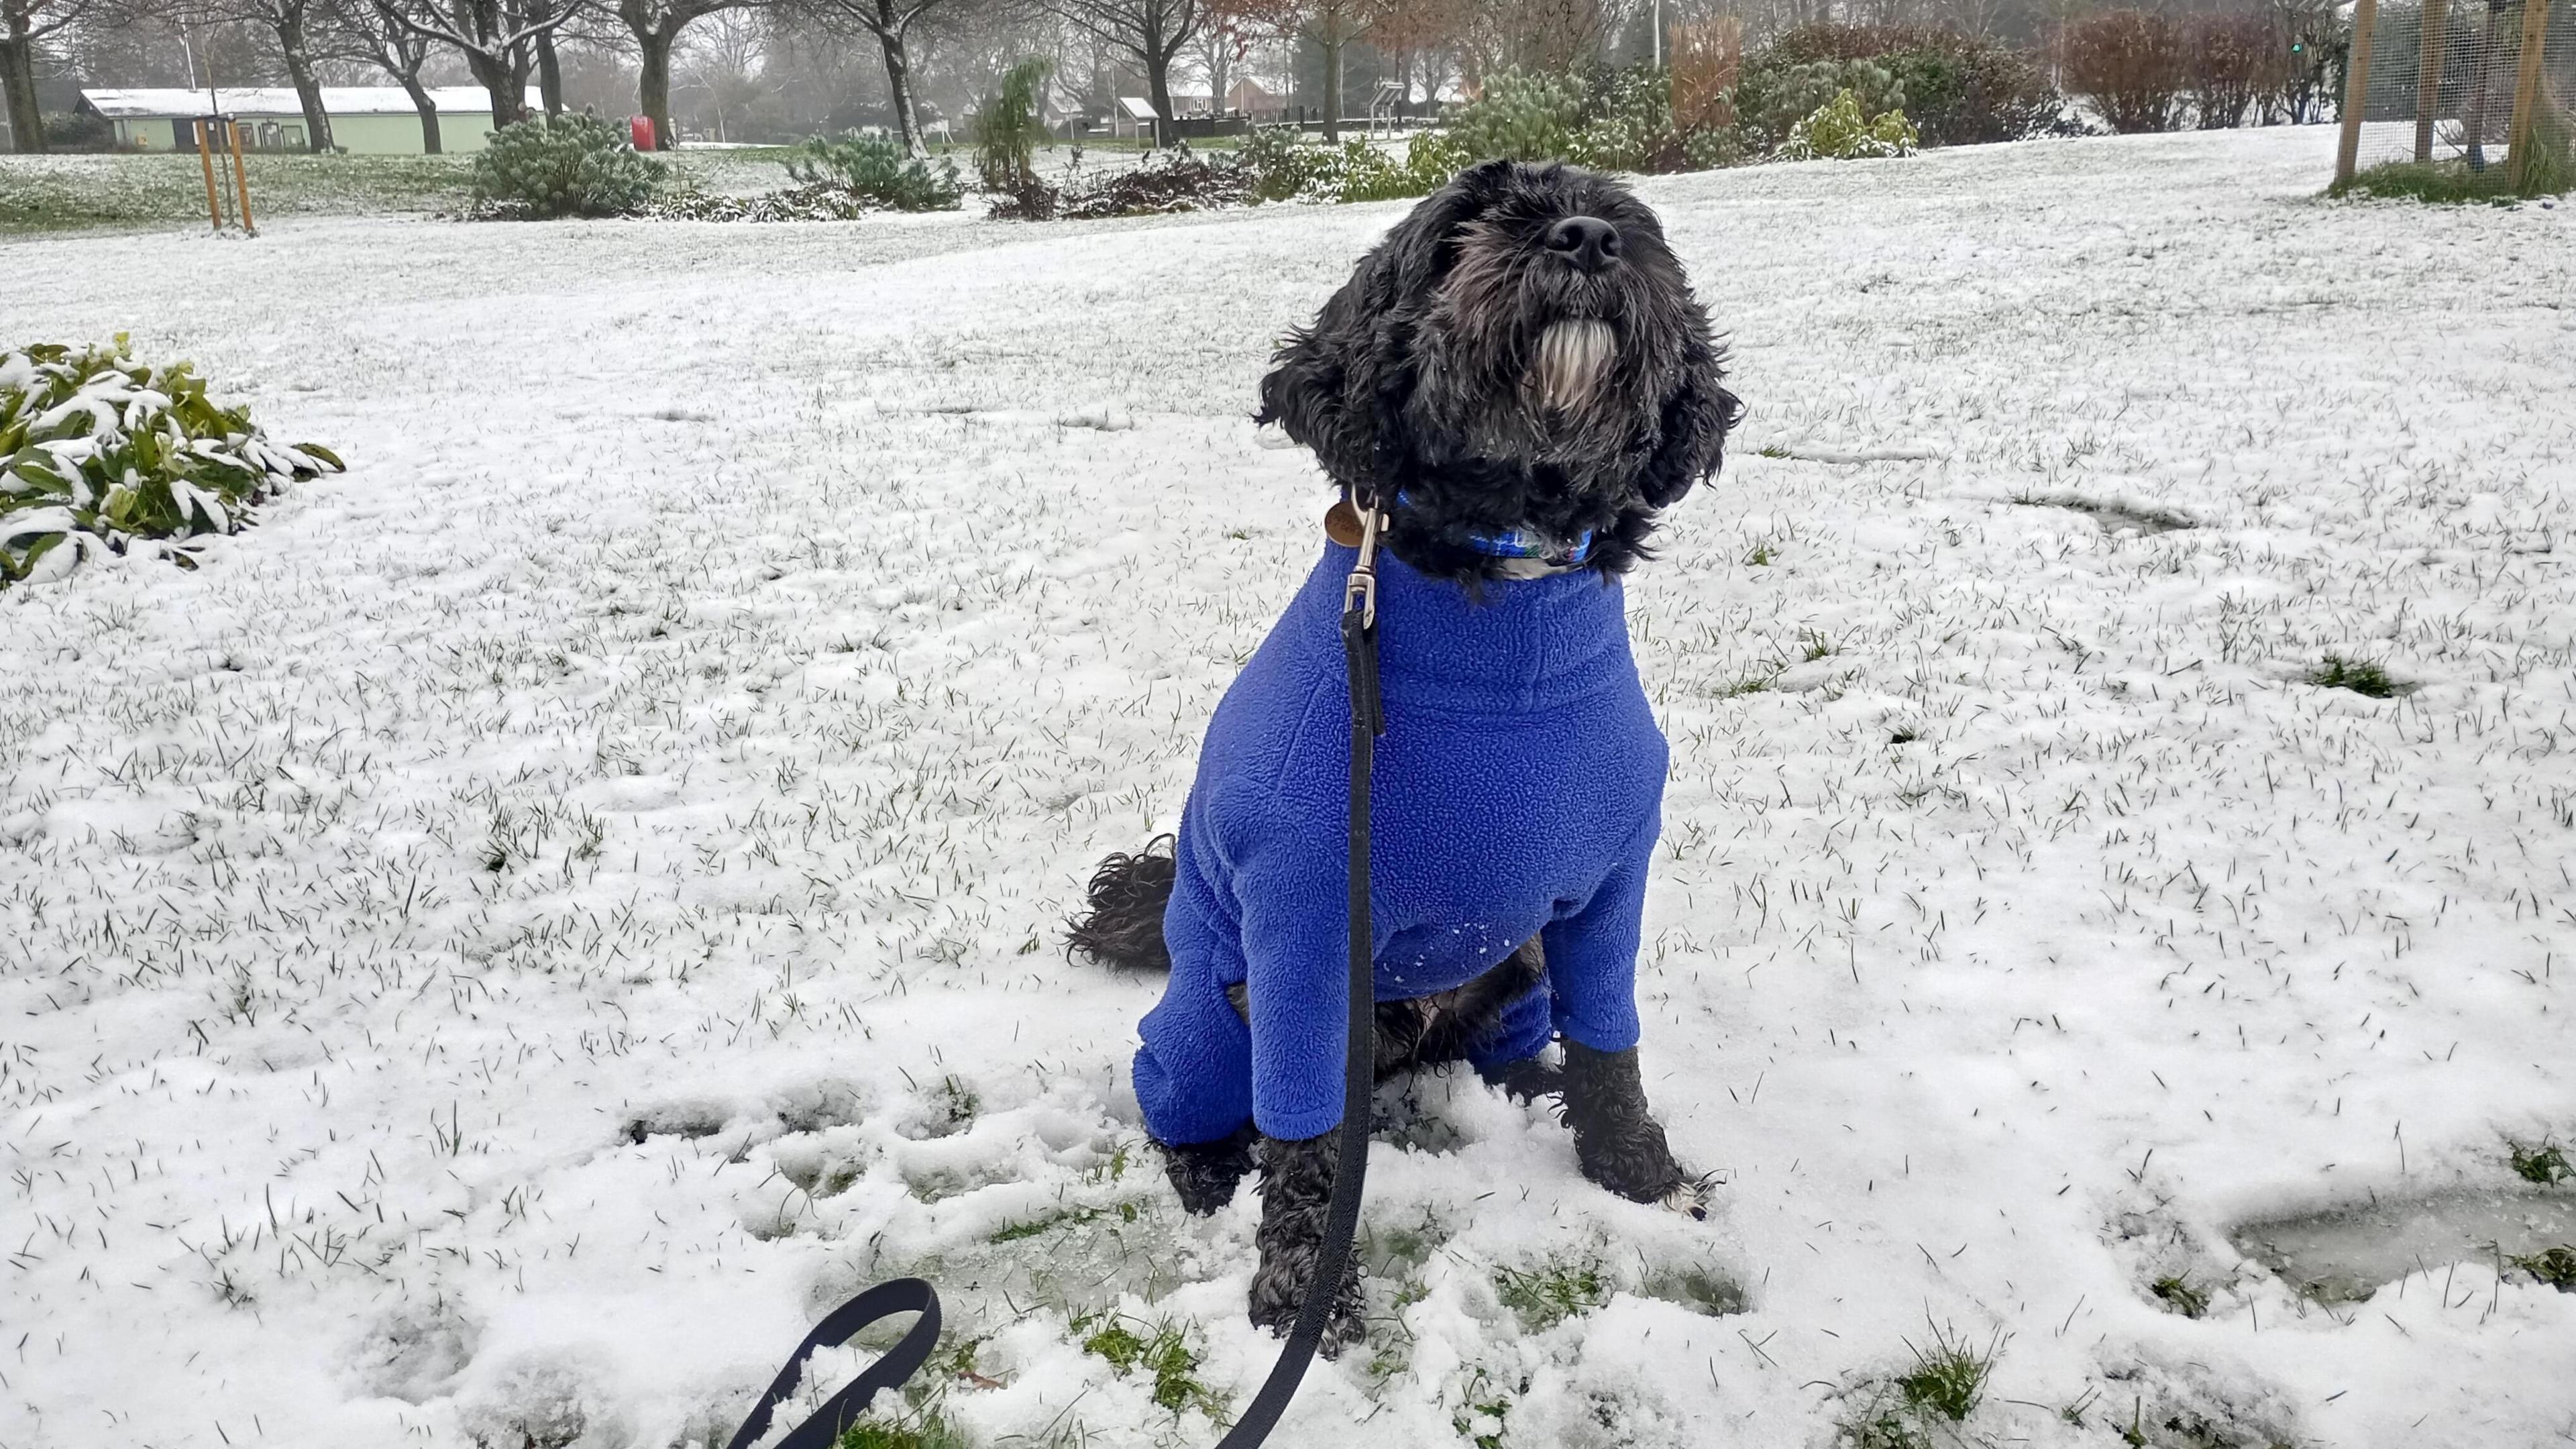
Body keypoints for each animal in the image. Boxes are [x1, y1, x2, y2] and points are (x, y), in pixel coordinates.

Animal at [1056, 158, 1741, 1340]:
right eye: (1466, 225)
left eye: (1628, 218)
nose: (1584, 240)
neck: (1506, 585)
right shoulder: (1303, 924)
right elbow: (1302, 1140)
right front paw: (1303, 1295)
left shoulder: (1611, 884)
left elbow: (1613, 1048)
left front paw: (1645, 1183)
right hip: (1211, 1016)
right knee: (1180, 1094)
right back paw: (1207, 1171)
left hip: (1515, 966)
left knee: (1517, 1047)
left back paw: (1527, 1092)